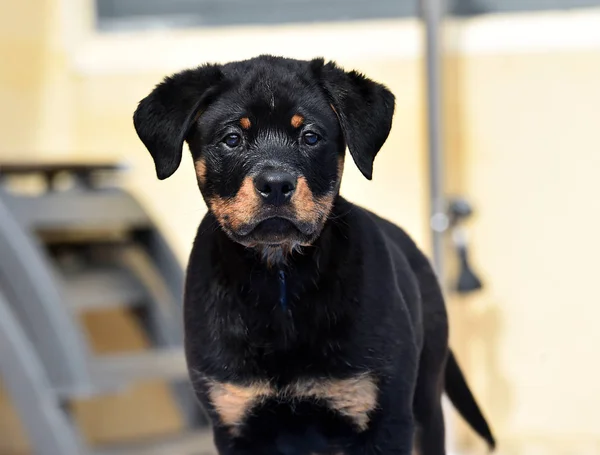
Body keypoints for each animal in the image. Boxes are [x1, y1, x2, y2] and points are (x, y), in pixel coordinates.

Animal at [134, 56, 494, 455]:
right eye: (232, 139)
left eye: (310, 136)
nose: (276, 184)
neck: (279, 279)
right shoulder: (234, 417)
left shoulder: (383, 418)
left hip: (426, 403)